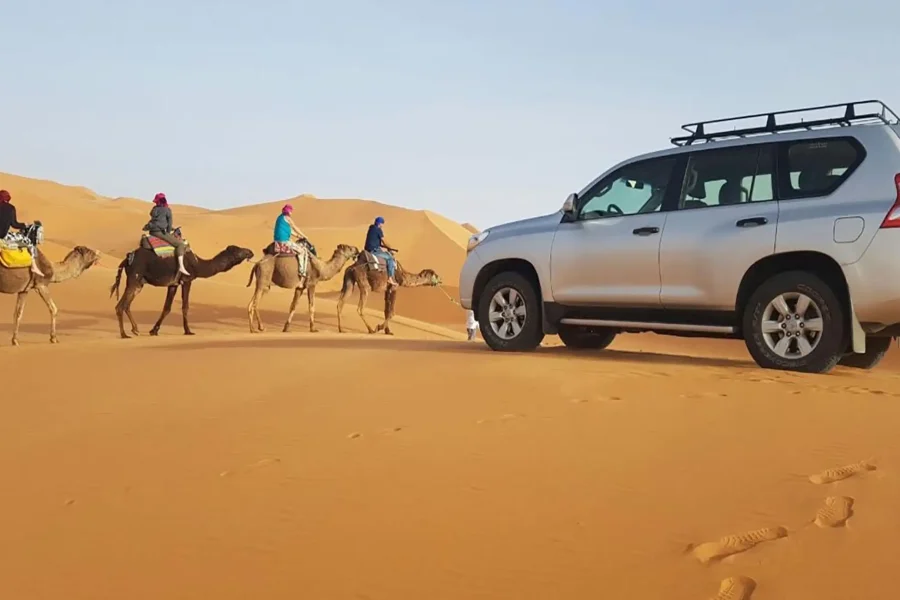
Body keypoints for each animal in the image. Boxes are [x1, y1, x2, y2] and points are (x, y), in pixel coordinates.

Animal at [109, 244, 254, 339]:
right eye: (239, 250)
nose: (250, 251)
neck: (198, 264)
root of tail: (127, 259)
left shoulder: (173, 284)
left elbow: (166, 308)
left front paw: (154, 330)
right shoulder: (187, 280)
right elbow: (185, 306)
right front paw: (188, 331)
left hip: (139, 283)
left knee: (127, 304)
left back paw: (135, 330)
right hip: (134, 278)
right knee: (120, 306)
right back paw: (124, 334)